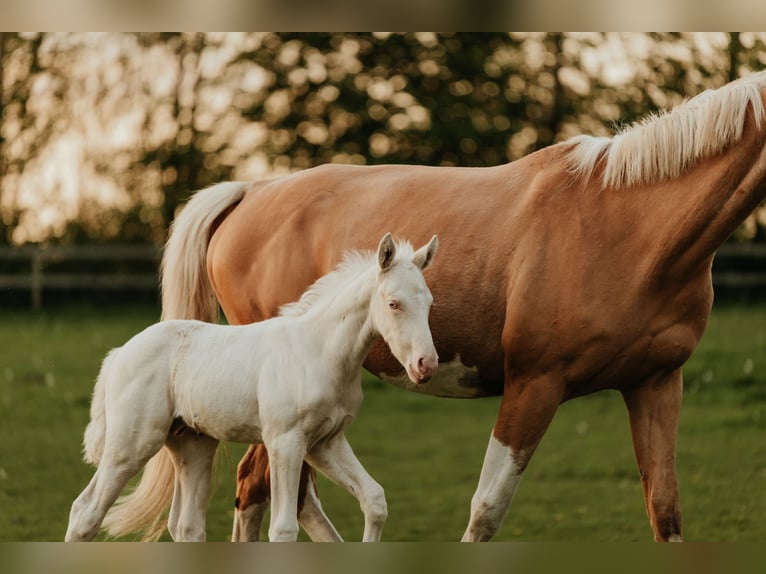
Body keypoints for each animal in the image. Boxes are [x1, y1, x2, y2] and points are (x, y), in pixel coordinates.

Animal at [162, 70, 766, 544]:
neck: (629, 227)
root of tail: (252, 191)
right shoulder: (534, 384)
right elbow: (487, 510)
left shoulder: (656, 385)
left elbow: (665, 510)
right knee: (260, 488)